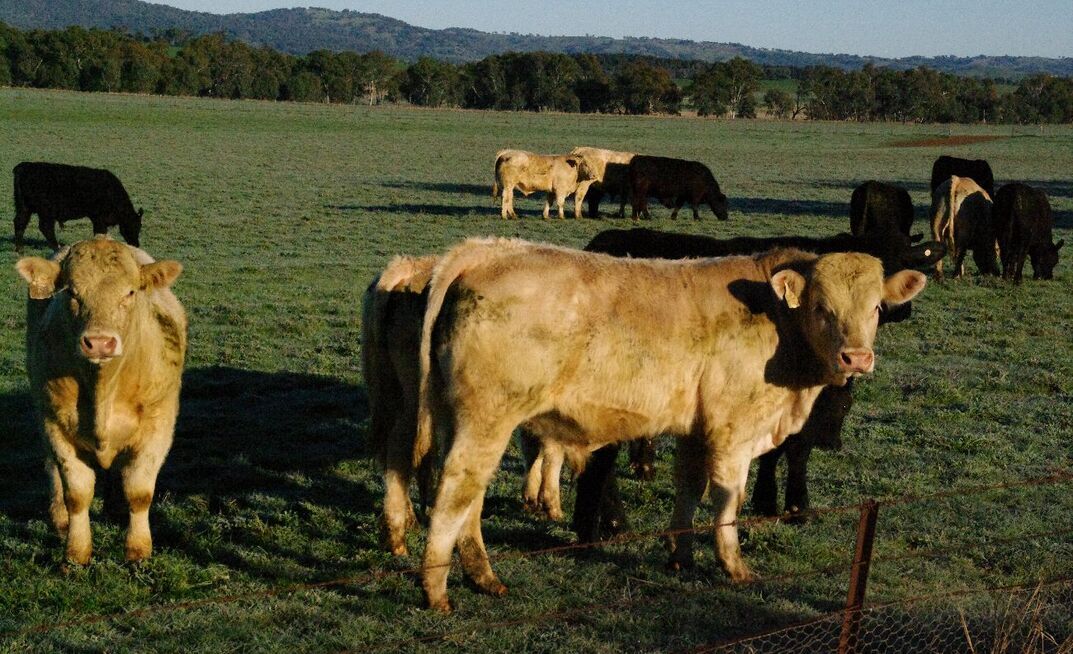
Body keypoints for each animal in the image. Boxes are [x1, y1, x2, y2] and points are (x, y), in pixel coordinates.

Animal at [13, 162, 144, 254]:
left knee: (20, 223)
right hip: (46, 211)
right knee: (45, 227)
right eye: (133, 226)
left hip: (24, 208)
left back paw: (20, 249)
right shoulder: (98, 217)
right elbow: (100, 232)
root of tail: (24, 166)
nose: (136, 244)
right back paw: (57, 248)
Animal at [16, 237, 186, 565]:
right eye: (71, 292)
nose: (99, 343)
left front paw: (138, 551)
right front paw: (76, 553)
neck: (104, 388)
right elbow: (77, 494)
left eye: (130, 292)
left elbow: (139, 492)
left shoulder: (159, 425)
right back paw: (59, 518)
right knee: (52, 468)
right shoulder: (54, 423)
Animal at [571, 228, 944, 542]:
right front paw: (790, 506)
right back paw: (610, 522)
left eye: (876, 304)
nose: (857, 357)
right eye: (821, 307)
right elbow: (792, 449)